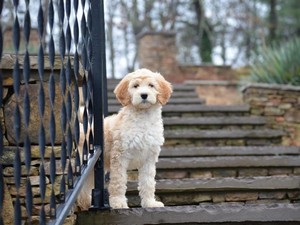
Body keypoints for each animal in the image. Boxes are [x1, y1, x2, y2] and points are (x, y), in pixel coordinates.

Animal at [77, 68, 172, 209]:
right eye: (135, 86)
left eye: (151, 85)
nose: (144, 95)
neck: (143, 118)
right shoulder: (120, 155)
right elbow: (119, 181)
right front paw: (118, 203)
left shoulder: (149, 158)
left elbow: (148, 182)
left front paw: (150, 203)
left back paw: (86, 202)